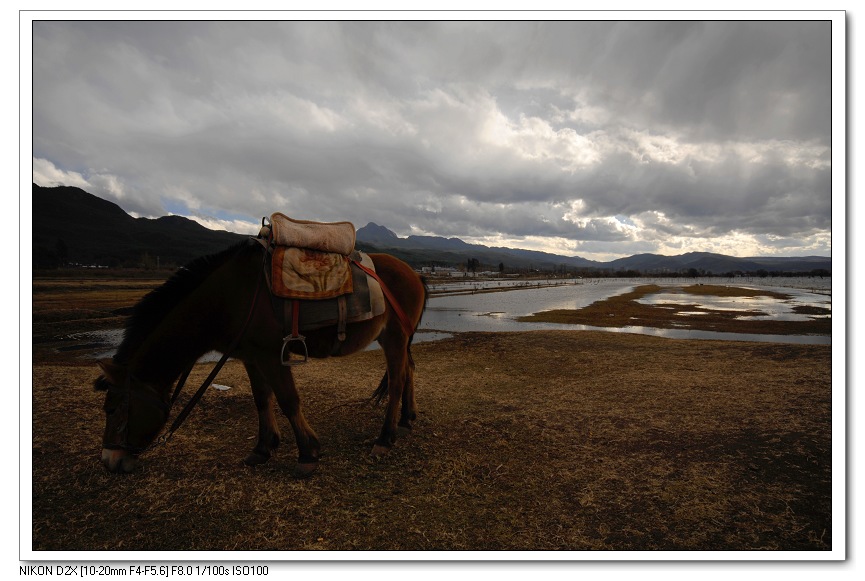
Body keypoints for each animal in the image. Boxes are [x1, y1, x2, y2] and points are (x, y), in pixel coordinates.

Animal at [93, 239, 426, 476]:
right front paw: (264, 448)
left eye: (112, 409)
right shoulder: (250, 356)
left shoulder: (271, 354)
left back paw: (385, 438)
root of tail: (414, 273)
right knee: (409, 371)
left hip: (394, 338)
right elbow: (261, 399)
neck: (228, 299)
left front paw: (307, 454)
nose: (109, 460)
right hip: (397, 339)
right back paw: (406, 420)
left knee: (397, 381)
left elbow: (288, 401)